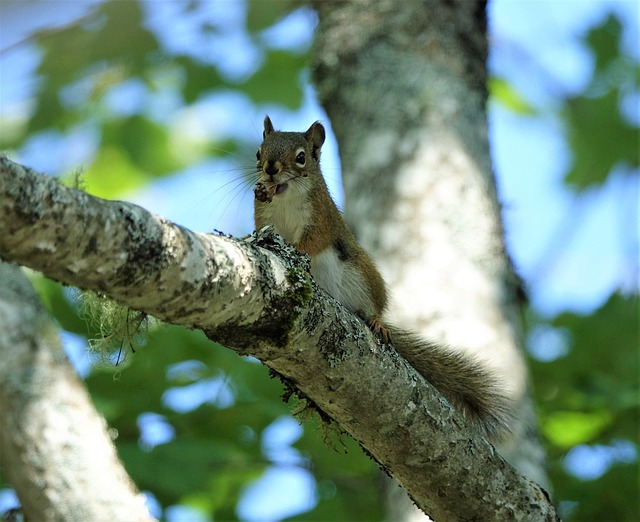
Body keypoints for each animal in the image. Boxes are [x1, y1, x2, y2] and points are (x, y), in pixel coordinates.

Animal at [254, 115, 511, 440]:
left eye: (301, 157)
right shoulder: (264, 217)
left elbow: (311, 243)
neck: (286, 196)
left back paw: (376, 321)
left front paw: (296, 250)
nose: (270, 168)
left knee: (374, 306)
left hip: (363, 275)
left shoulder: (321, 218)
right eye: (259, 152)